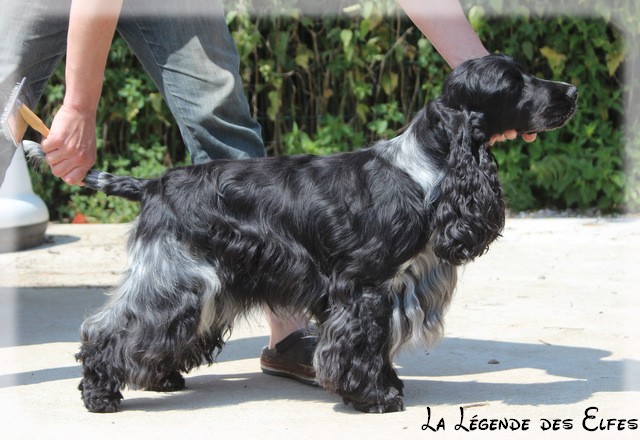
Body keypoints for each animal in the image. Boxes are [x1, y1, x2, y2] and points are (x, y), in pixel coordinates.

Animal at [25, 53, 576, 414]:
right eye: (513, 83)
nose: (570, 92)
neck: (426, 170)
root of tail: (155, 183)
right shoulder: (362, 285)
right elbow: (361, 342)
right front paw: (375, 396)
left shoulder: (391, 287)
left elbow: (378, 343)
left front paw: (386, 386)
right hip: (179, 274)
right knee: (110, 328)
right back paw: (100, 393)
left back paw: (161, 377)